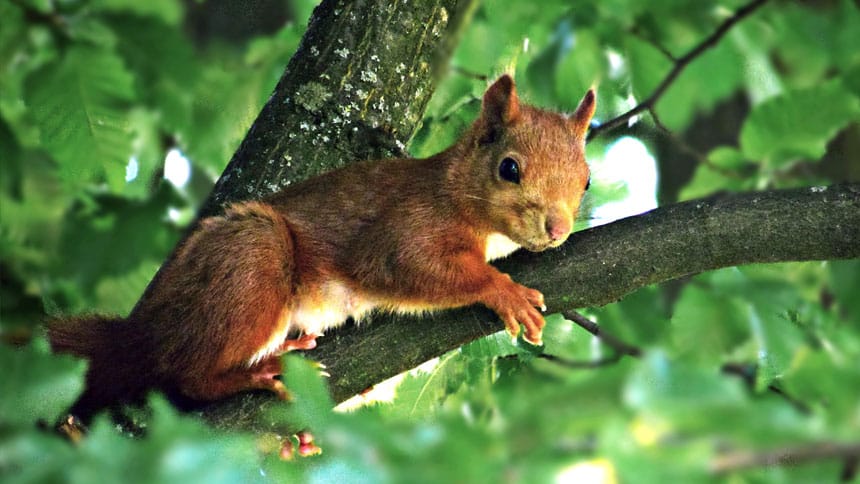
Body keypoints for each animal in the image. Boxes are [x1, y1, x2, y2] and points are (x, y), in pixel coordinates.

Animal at [48, 73, 596, 422]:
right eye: (509, 168)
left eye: (587, 181)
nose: (556, 228)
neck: (456, 189)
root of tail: (137, 334)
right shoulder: (404, 228)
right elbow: (414, 263)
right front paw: (505, 291)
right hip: (250, 262)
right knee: (188, 375)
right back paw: (256, 371)